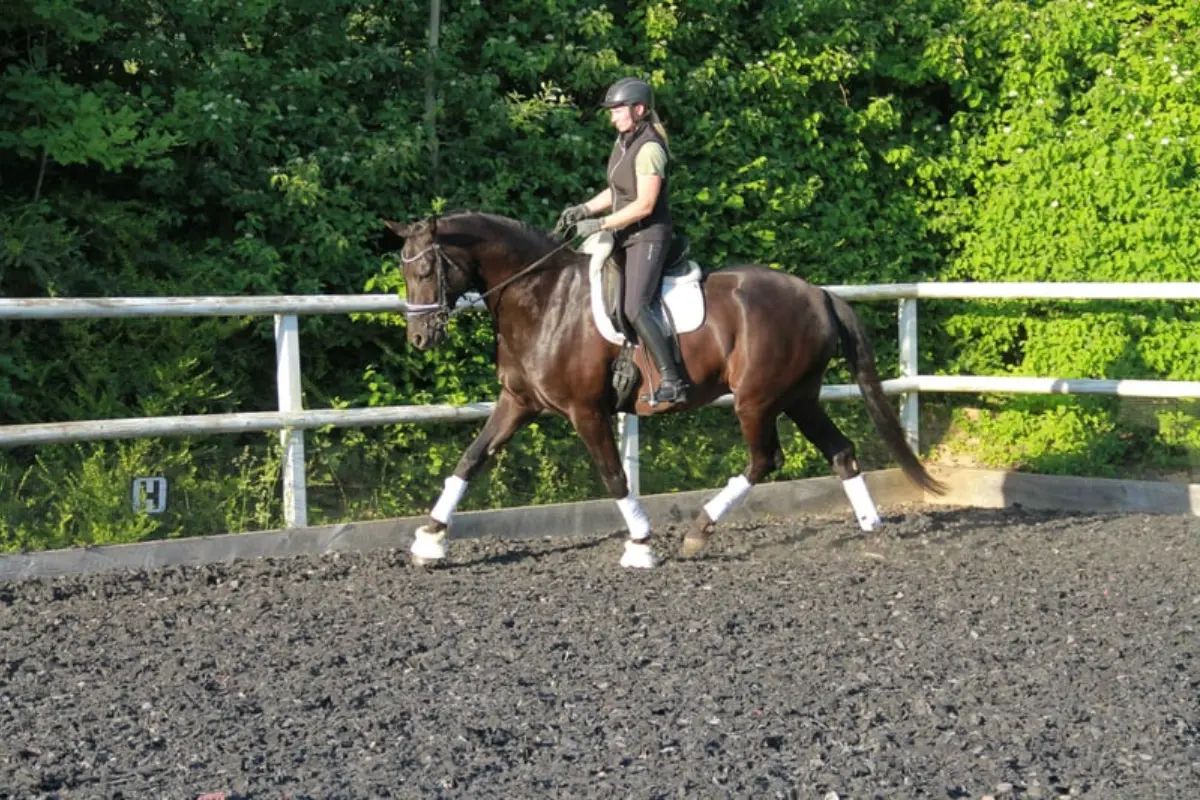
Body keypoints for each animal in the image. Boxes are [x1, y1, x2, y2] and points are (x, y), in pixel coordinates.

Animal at [383, 210, 943, 568]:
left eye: (427, 267)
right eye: (404, 269)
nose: (419, 338)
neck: (542, 299)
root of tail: (819, 294)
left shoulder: (587, 412)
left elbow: (614, 477)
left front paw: (641, 544)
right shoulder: (518, 403)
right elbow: (470, 459)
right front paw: (429, 540)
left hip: (757, 400)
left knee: (765, 459)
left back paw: (698, 530)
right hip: (799, 397)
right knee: (840, 451)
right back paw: (871, 526)